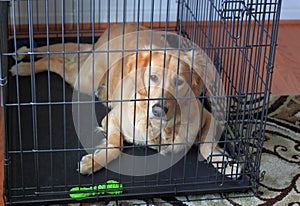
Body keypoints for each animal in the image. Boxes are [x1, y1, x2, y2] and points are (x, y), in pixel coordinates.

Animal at [10, 22, 241, 179]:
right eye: (153, 77)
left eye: (179, 82)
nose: (158, 109)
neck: (160, 128)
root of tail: (116, 25)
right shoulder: (112, 118)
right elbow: (115, 145)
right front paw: (93, 162)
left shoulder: (208, 117)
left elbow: (206, 146)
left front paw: (226, 164)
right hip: (86, 80)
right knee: (56, 60)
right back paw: (23, 66)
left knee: (61, 55)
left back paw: (24, 55)